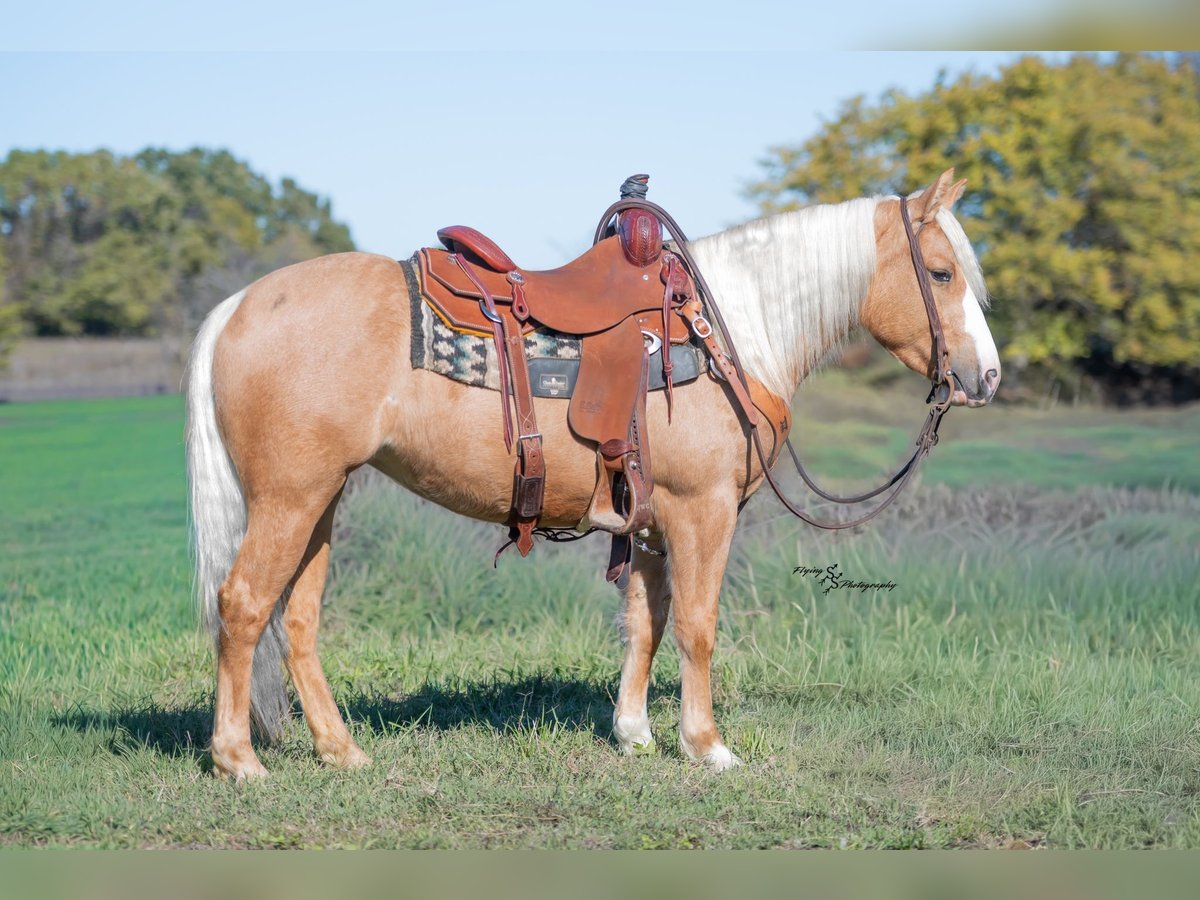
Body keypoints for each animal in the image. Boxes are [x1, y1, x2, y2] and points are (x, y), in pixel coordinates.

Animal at [185, 168, 1000, 780]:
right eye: (940, 272)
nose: (985, 377)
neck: (729, 329)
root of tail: (237, 305)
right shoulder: (702, 510)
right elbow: (698, 624)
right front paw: (707, 746)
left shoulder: (648, 520)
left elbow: (646, 620)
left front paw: (635, 732)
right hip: (290, 499)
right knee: (244, 604)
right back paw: (238, 760)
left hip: (322, 500)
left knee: (297, 617)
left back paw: (341, 750)